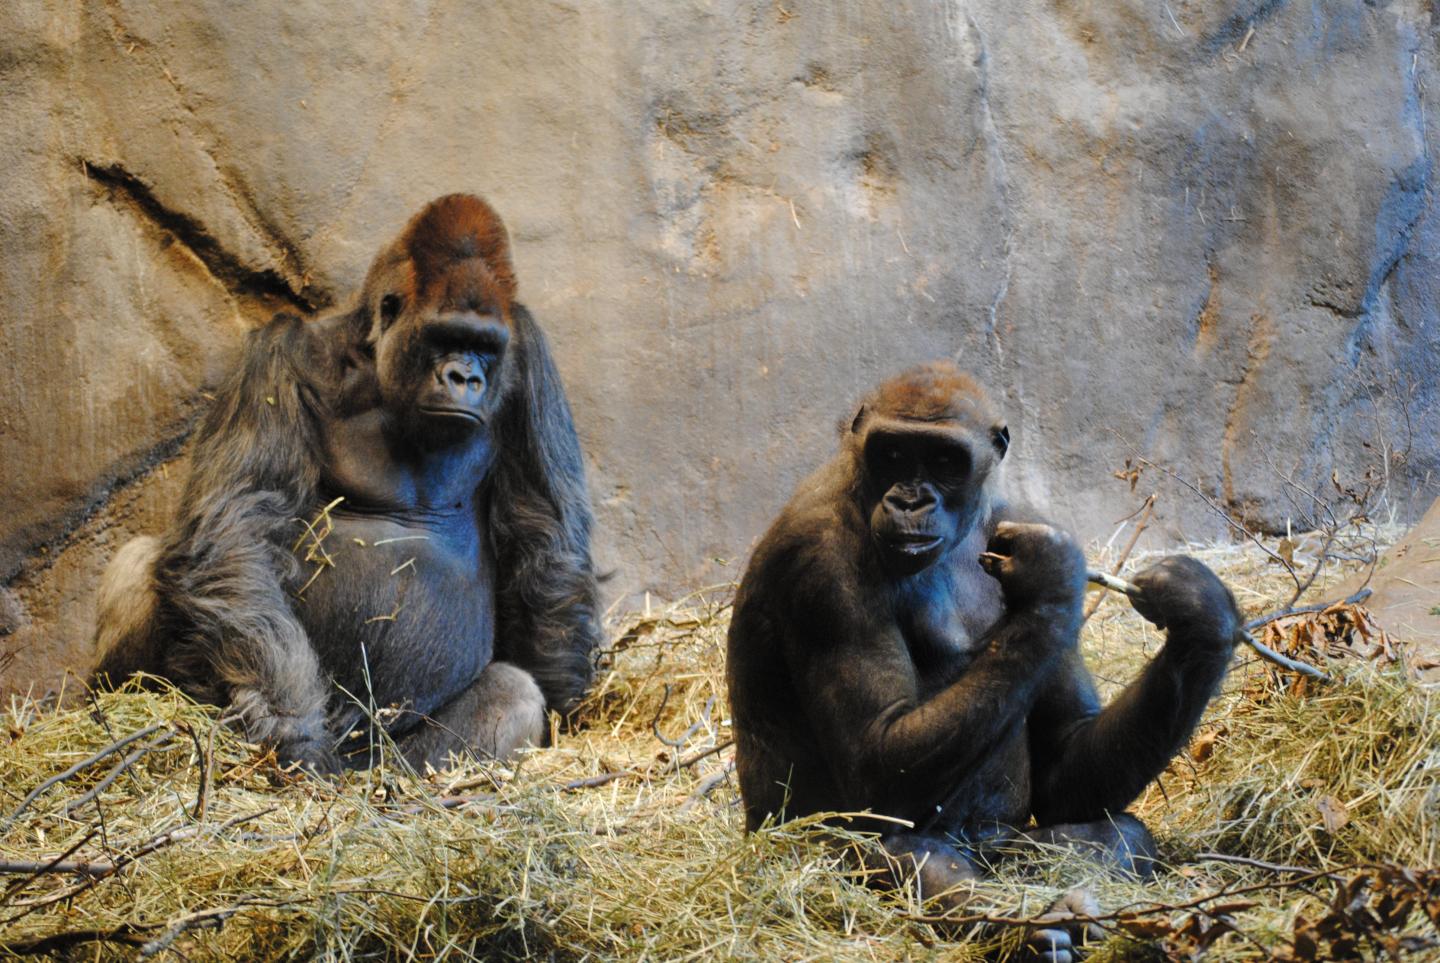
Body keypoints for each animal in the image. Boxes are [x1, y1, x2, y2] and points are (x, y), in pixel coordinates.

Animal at [93, 194, 600, 774]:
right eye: (446, 338)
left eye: (486, 347)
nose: (465, 378)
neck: (377, 362)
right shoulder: (279, 351)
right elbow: (238, 525)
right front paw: (291, 727)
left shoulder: (529, 350)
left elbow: (546, 535)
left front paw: (565, 701)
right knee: (142, 560)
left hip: (386, 758)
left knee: (511, 696)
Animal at [726, 361, 1242, 961]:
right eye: (892, 453)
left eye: (945, 461)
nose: (910, 501)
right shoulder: (821, 560)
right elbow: (876, 759)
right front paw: (1048, 578)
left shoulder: (1020, 515)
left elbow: (1064, 766)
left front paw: (1201, 621)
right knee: (895, 850)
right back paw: (1030, 928)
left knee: (1121, 837)